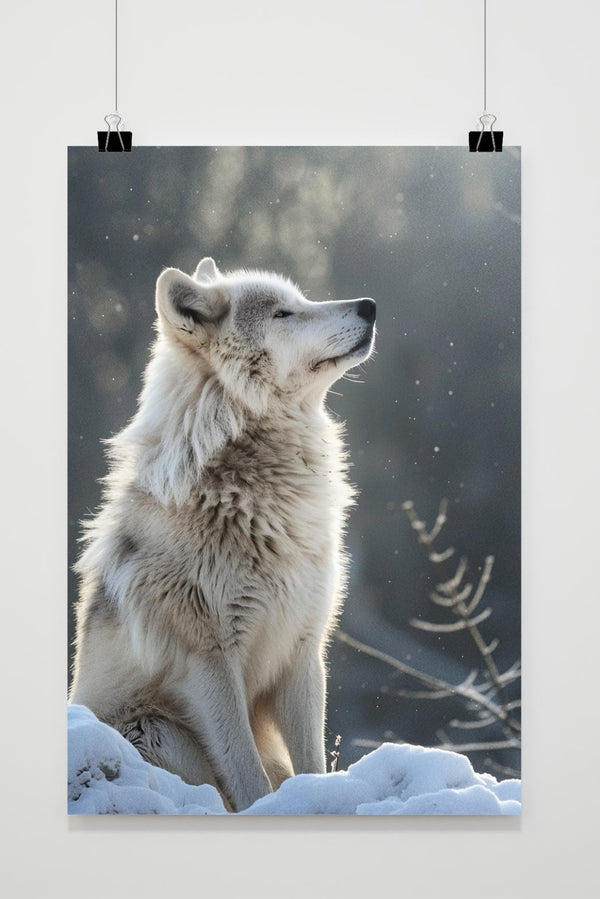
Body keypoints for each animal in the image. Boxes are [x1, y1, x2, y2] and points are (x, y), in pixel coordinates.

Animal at [69, 257, 376, 811]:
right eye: (283, 313)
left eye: (303, 299)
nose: (370, 305)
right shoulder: (209, 661)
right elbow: (247, 775)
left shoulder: (303, 650)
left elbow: (312, 764)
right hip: (154, 730)